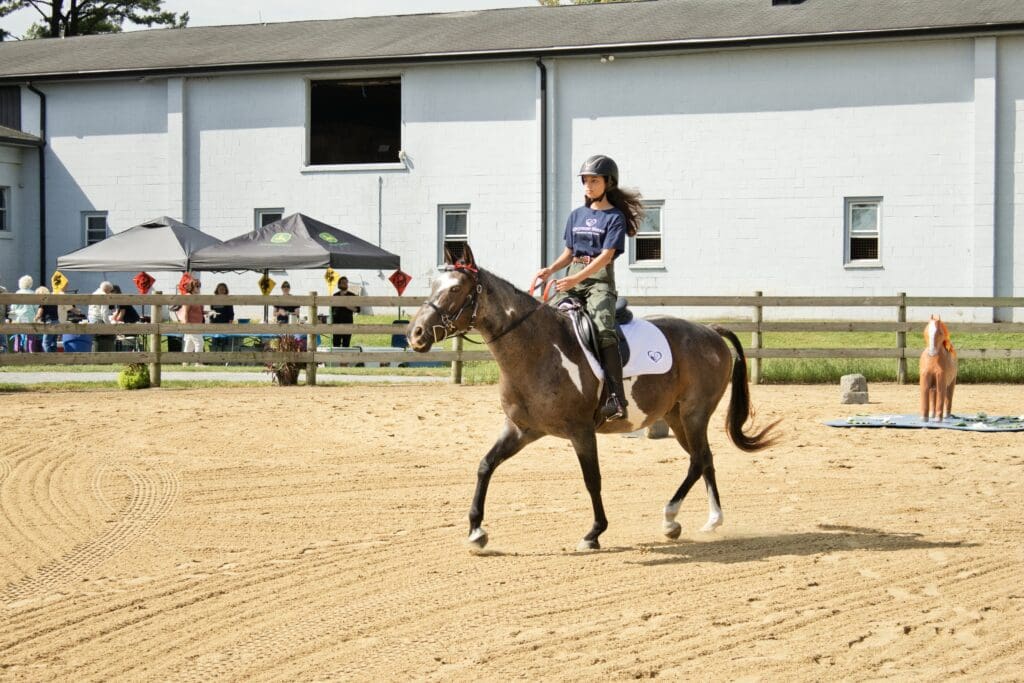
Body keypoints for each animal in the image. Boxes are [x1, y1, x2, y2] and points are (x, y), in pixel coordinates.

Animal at [407, 245, 779, 551]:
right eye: (434, 286)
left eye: (455, 289)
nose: (416, 334)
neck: (536, 349)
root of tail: (710, 332)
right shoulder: (522, 429)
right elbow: (486, 465)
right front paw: (476, 532)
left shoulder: (581, 431)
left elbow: (592, 480)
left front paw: (594, 533)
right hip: (675, 416)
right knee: (704, 459)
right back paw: (707, 520)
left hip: (694, 413)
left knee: (699, 459)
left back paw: (672, 516)